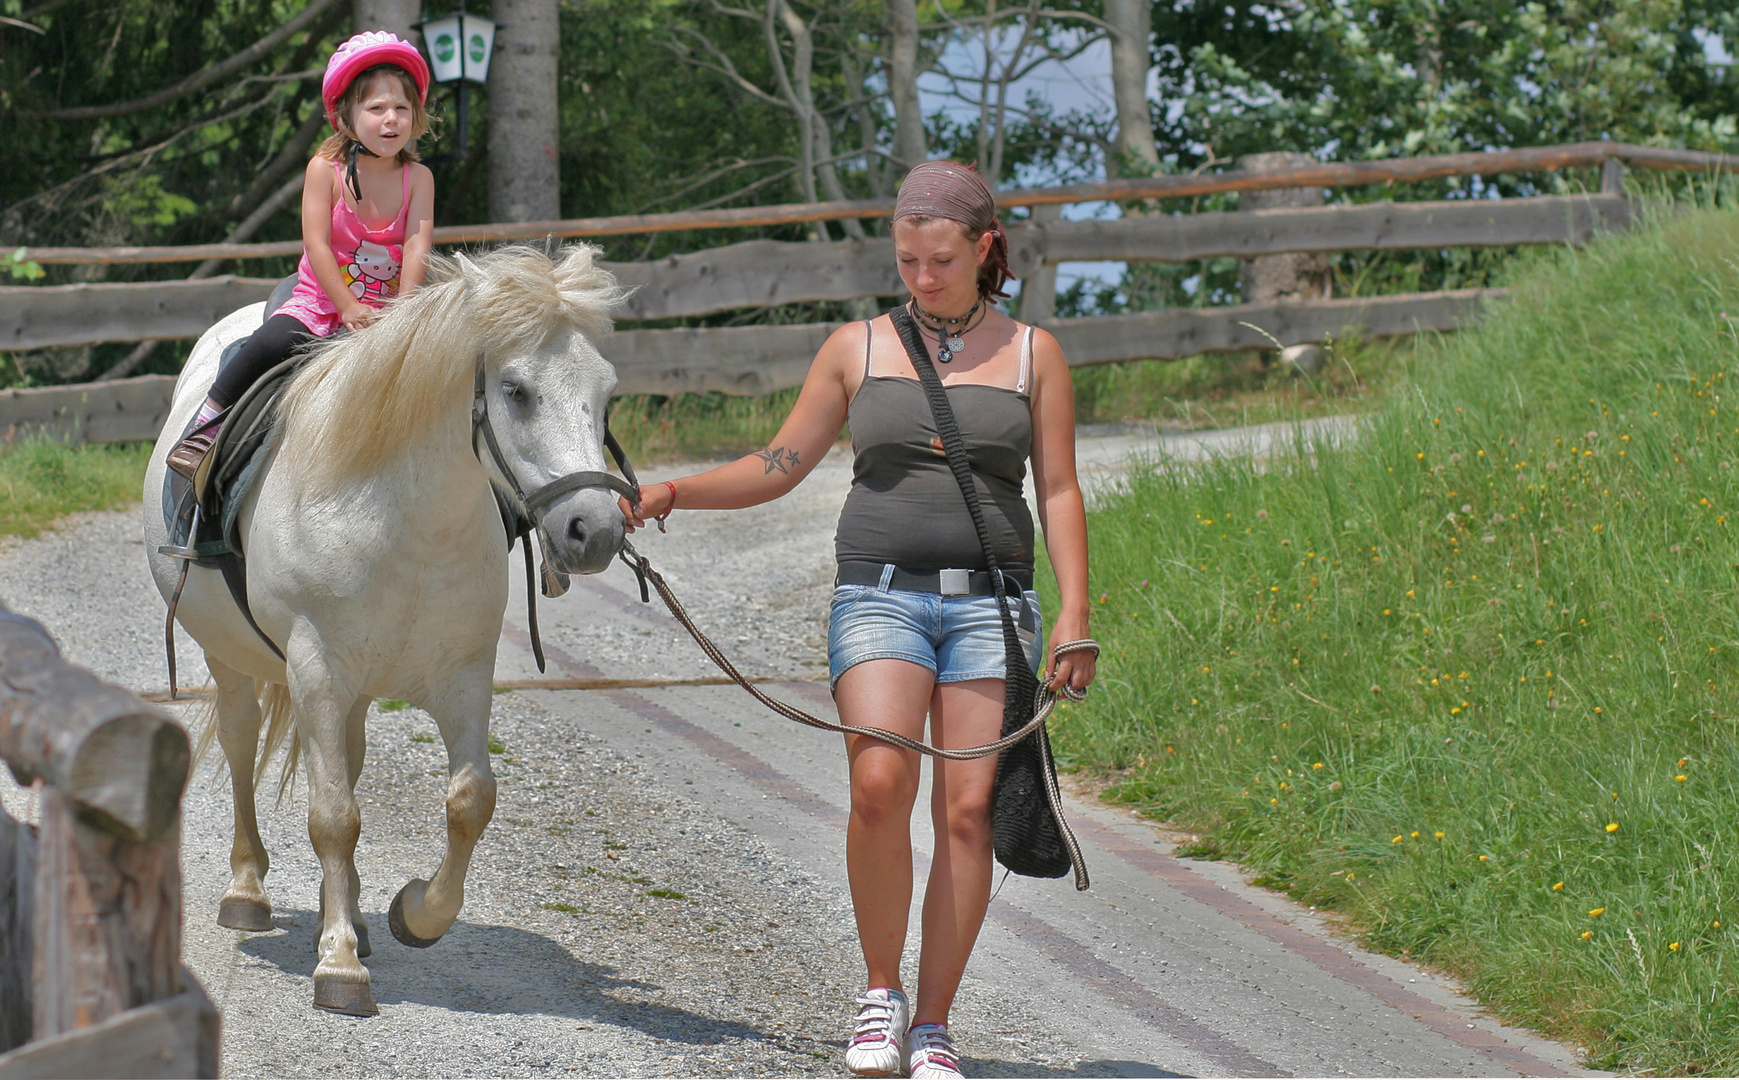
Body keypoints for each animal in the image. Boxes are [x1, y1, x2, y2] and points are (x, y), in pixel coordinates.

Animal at [142, 239, 632, 1015]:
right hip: (235, 659)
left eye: (606, 393)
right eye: (517, 390)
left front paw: (413, 915)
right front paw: (340, 967)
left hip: (356, 693)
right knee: (244, 748)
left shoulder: (462, 674)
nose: (597, 531)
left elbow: (469, 801)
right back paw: (248, 892)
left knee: (346, 759)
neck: (404, 517)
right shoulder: (315, 670)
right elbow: (333, 816)